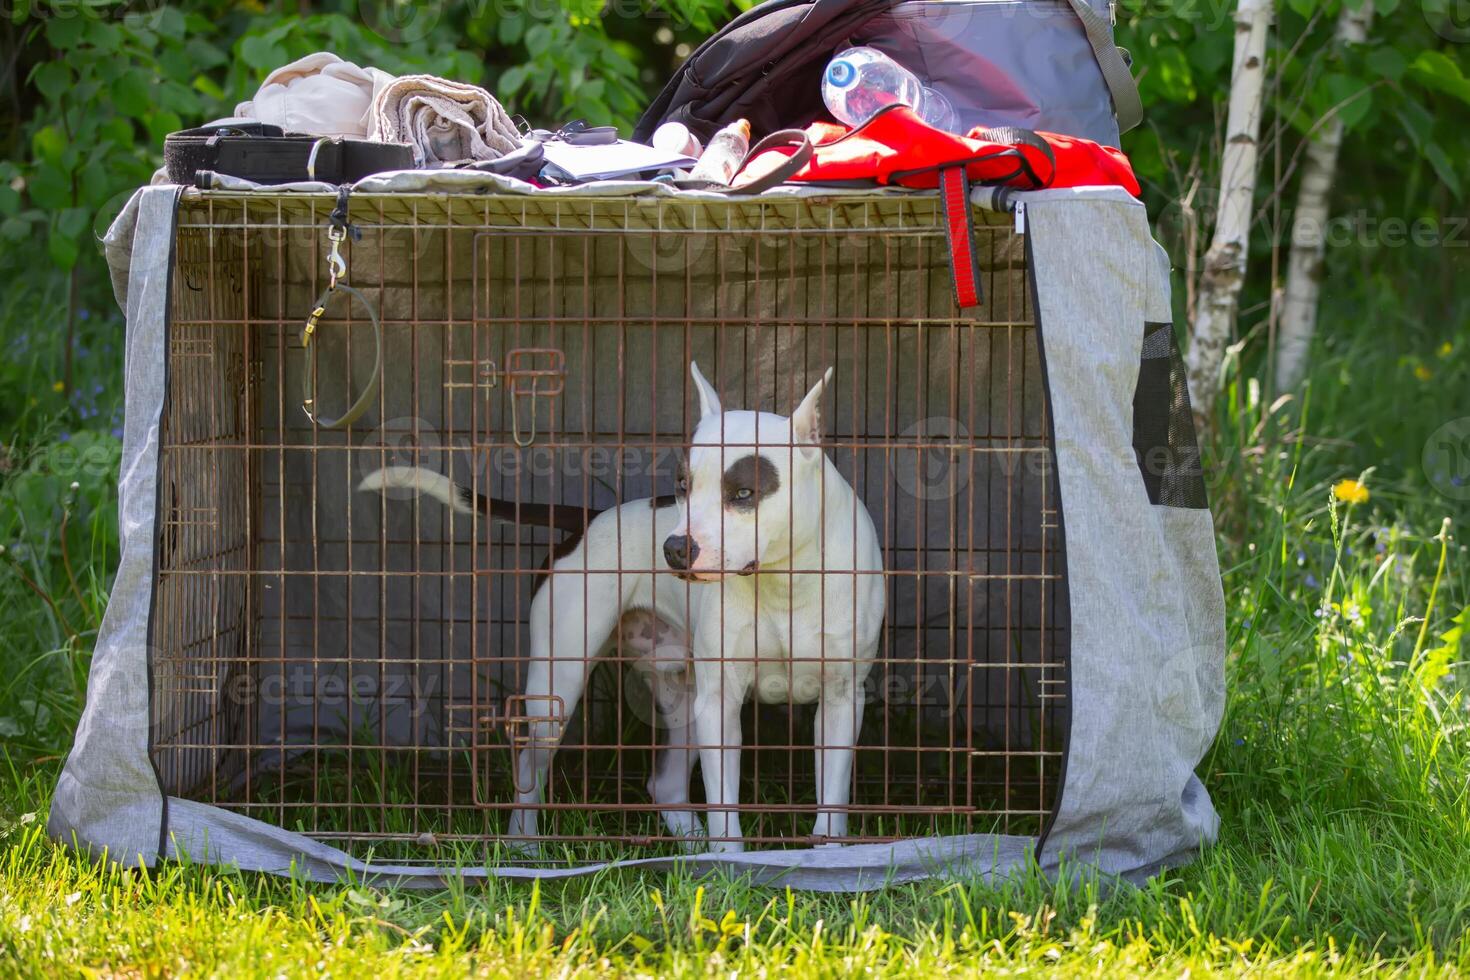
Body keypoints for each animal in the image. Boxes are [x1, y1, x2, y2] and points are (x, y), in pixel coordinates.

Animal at [358, 362, 882, 852]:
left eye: (744, 494)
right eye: (682, 484)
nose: (675, 548)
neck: (782, 582)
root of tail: (588, 520)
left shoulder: (841, 698)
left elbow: (833, 799)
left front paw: (827, 855)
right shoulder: (720, 700)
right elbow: (724, 804)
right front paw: (730, 858)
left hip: (682, 693)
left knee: (665, 783)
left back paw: (691, 846)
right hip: (558, 684)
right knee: (530, 760)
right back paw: (524, 842)